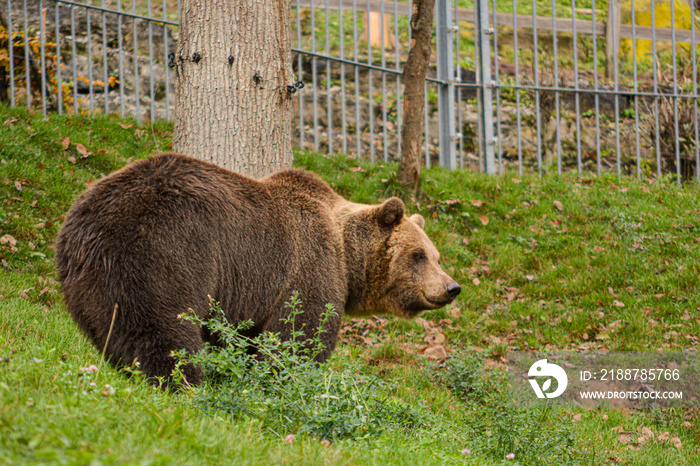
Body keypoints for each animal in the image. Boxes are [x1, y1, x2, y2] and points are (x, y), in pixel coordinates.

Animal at [54, 152, 460, 382]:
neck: (347, 258)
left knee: (114, 334)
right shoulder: (307, 266)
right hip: (164, 257)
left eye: (437, 256)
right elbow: (299, 336)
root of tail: (86, 226)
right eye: (418, 255)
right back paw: (183, 383)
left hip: (91, 287)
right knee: (165, 332)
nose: (452, 287)